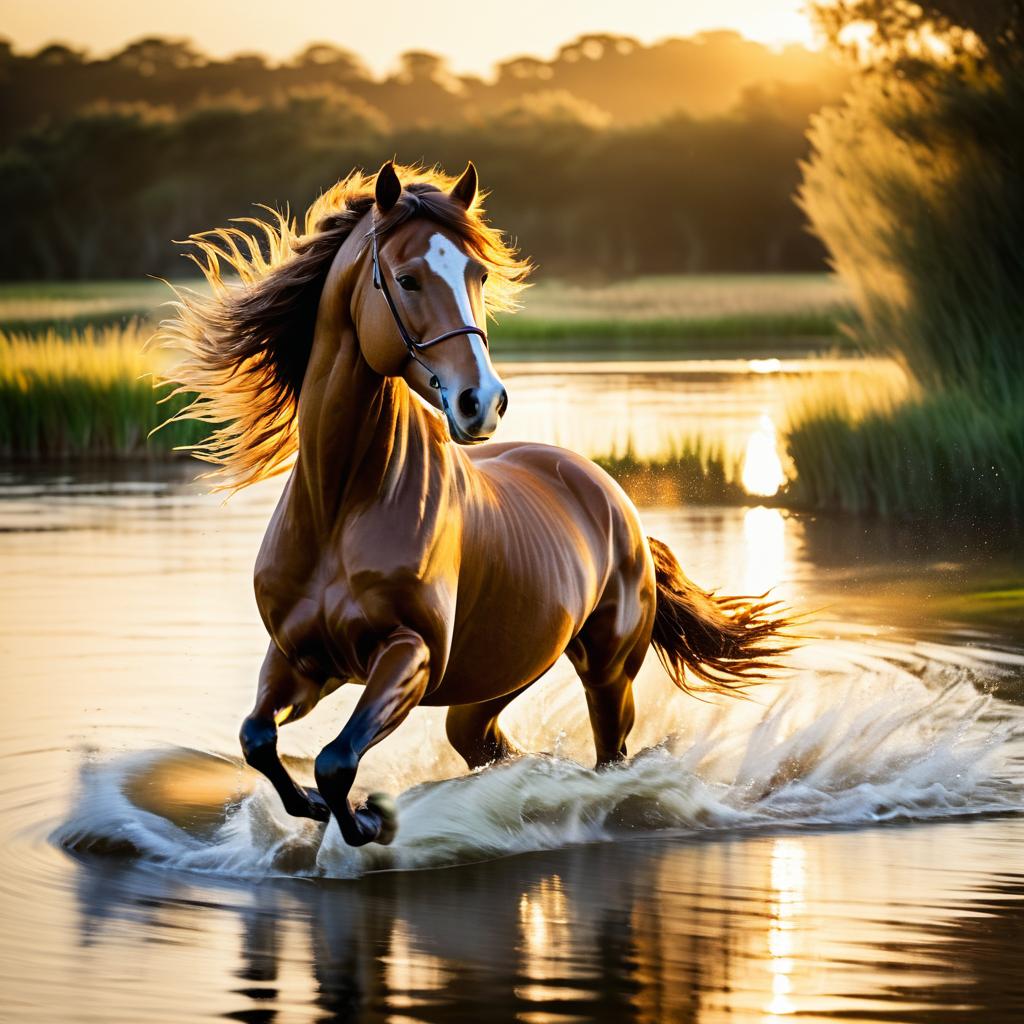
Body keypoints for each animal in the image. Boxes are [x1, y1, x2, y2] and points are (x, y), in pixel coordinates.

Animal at [159, 161, 786, 847]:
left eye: (479, 274)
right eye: (407, 278)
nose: (481, 402)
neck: (339, 506)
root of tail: (616, 504)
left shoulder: (412, 655)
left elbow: (335, 759)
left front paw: (372, 818)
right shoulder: (301, 660)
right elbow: (259, 741)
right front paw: (324, 812)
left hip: (607, 673)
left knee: (609, 759)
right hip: (495, 681)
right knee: (490, 748)